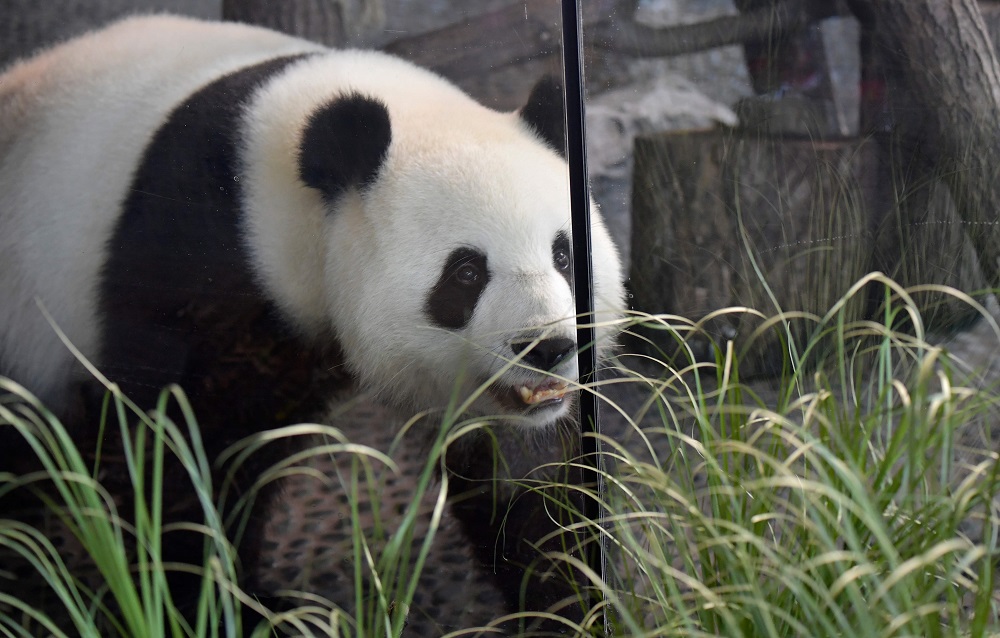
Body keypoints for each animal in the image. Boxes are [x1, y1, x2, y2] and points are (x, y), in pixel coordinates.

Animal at [0, 14, 624, 631]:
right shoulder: (195, 249)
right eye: (466, 273)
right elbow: (184, 440)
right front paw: (220, 605)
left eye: (564, 255)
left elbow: (521, 473)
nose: (547, 348)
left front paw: (565, 599)